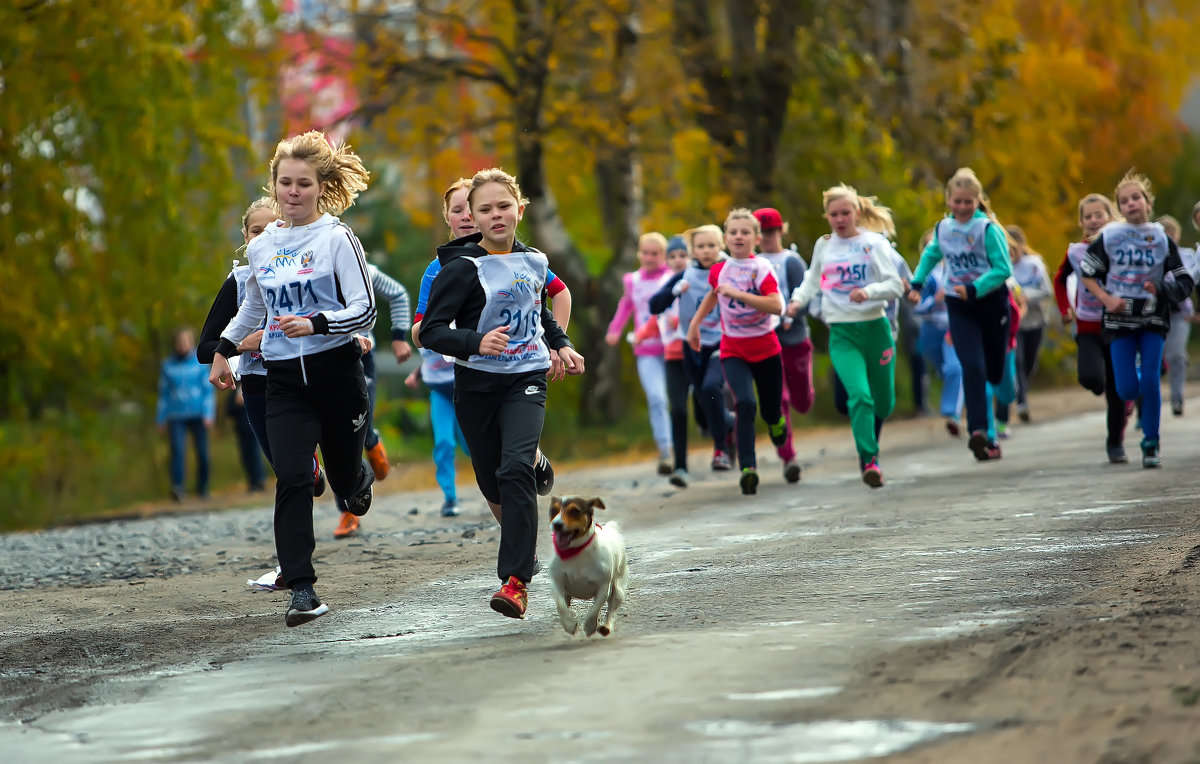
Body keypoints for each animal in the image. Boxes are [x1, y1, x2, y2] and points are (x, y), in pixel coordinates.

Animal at [549, 496, 633, 633]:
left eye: (574, 511)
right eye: (553, 510)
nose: (556, 524)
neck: (576, 552)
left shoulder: (603, 587)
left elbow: (595, 609)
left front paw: (589, 626)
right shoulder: (557, 582)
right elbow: (560, 605)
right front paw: (569, 623)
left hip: (618, 590)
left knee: (611, 608)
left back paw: (606, 626)